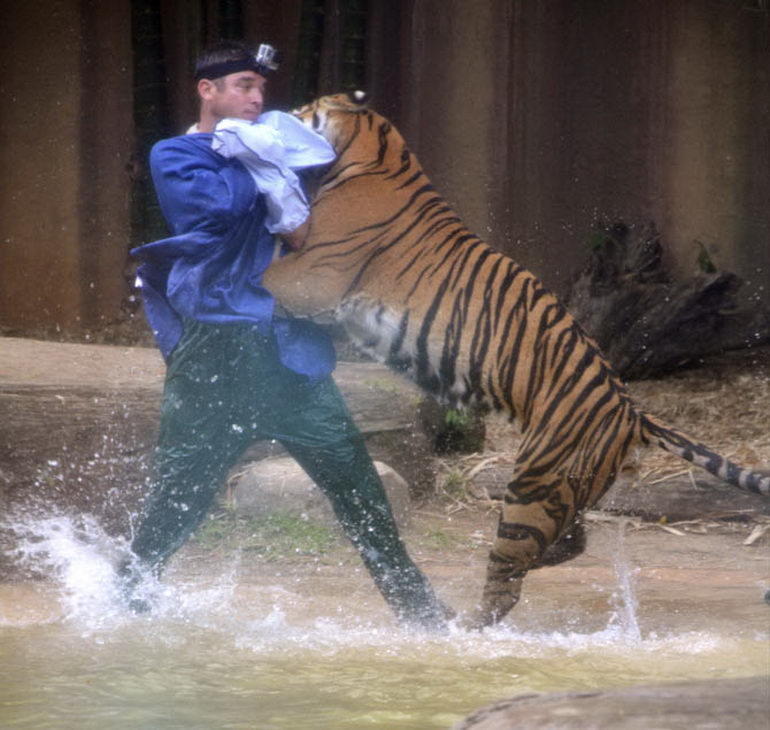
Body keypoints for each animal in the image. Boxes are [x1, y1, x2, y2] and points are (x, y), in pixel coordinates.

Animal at [260, 89, 764, 624]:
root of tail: (633, 414)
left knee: (507, 579)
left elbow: (263, 271)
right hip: (564, 490)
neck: (377, 151)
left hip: (534, 486)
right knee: (566, 543)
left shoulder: (313, 277)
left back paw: (464, 625)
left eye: (309, 109)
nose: (283, 112)